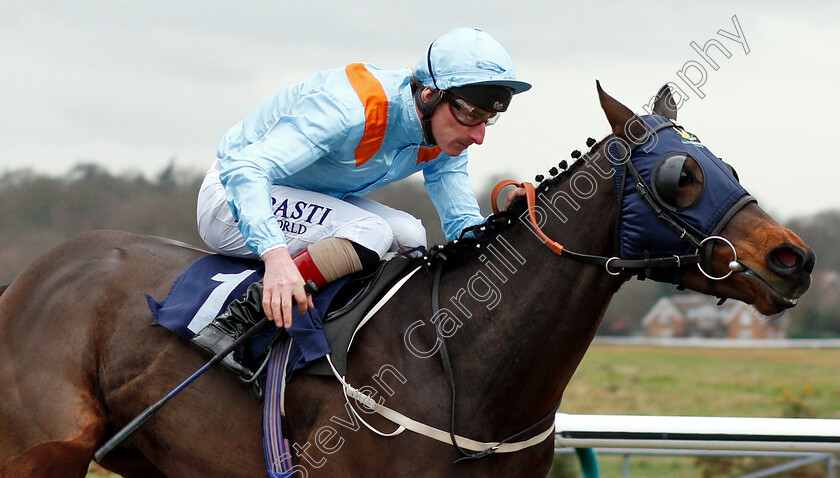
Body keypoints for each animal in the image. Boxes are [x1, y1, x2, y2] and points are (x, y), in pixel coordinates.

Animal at [0, 84, 812, 476]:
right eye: (681, 176)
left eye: (728, 165)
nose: (793, 259)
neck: (464, 368)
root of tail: (30, 277)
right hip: (41, 451)